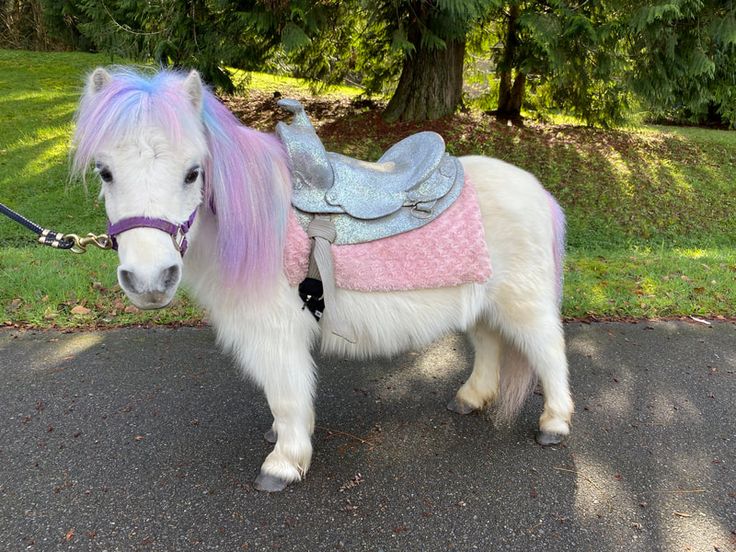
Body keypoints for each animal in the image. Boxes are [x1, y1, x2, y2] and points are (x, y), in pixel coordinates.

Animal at [70, 67, 576, 494]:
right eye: (105, 171)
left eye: (193, 172)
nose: (149, 280)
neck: (261, 222)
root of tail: (540, 191)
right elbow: (282, 395)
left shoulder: (276, 333)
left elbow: (286, 396)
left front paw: (283, 464)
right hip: (479, 303)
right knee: (489, 345)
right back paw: (470, 399)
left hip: (524, 306)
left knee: (549, 354)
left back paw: (554, 424)